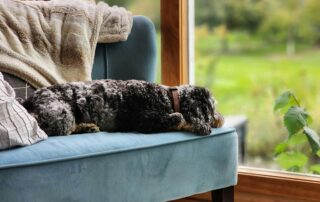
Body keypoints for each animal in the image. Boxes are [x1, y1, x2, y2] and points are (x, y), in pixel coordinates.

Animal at [22, 79, 224, 136]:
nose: (220, 119)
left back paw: (88, 127)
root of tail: (27, 102)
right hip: (62, 114)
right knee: (60, 131)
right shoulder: (144, 121)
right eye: (211, 109)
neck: (168, 97)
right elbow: (179, 117)